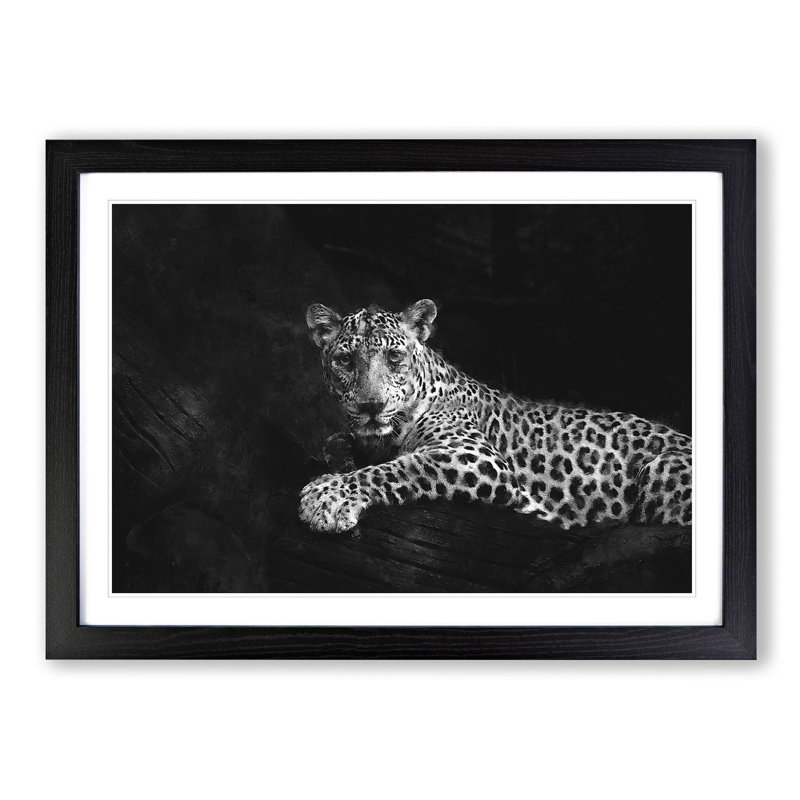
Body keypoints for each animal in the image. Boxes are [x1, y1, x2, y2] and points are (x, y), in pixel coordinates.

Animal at [299, 299, 692, 534]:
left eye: (394, 357)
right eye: (345, 360)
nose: (372, 406)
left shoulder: (474, 456)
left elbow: (399, 468)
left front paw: (327, 496)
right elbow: (337, 443)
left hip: (662, 470)